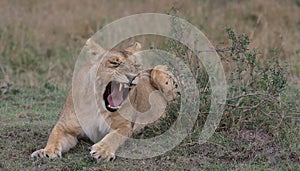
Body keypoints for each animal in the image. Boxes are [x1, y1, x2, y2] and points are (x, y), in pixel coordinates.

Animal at [31, 39, 178, 162]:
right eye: (115, 63)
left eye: (136, 66)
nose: (132, 76)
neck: (98, 105)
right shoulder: (66, 126)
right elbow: (54, 136)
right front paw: (46, 151)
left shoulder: (124, 126)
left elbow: (114, 137)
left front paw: (102, 151)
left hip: (158, 69)